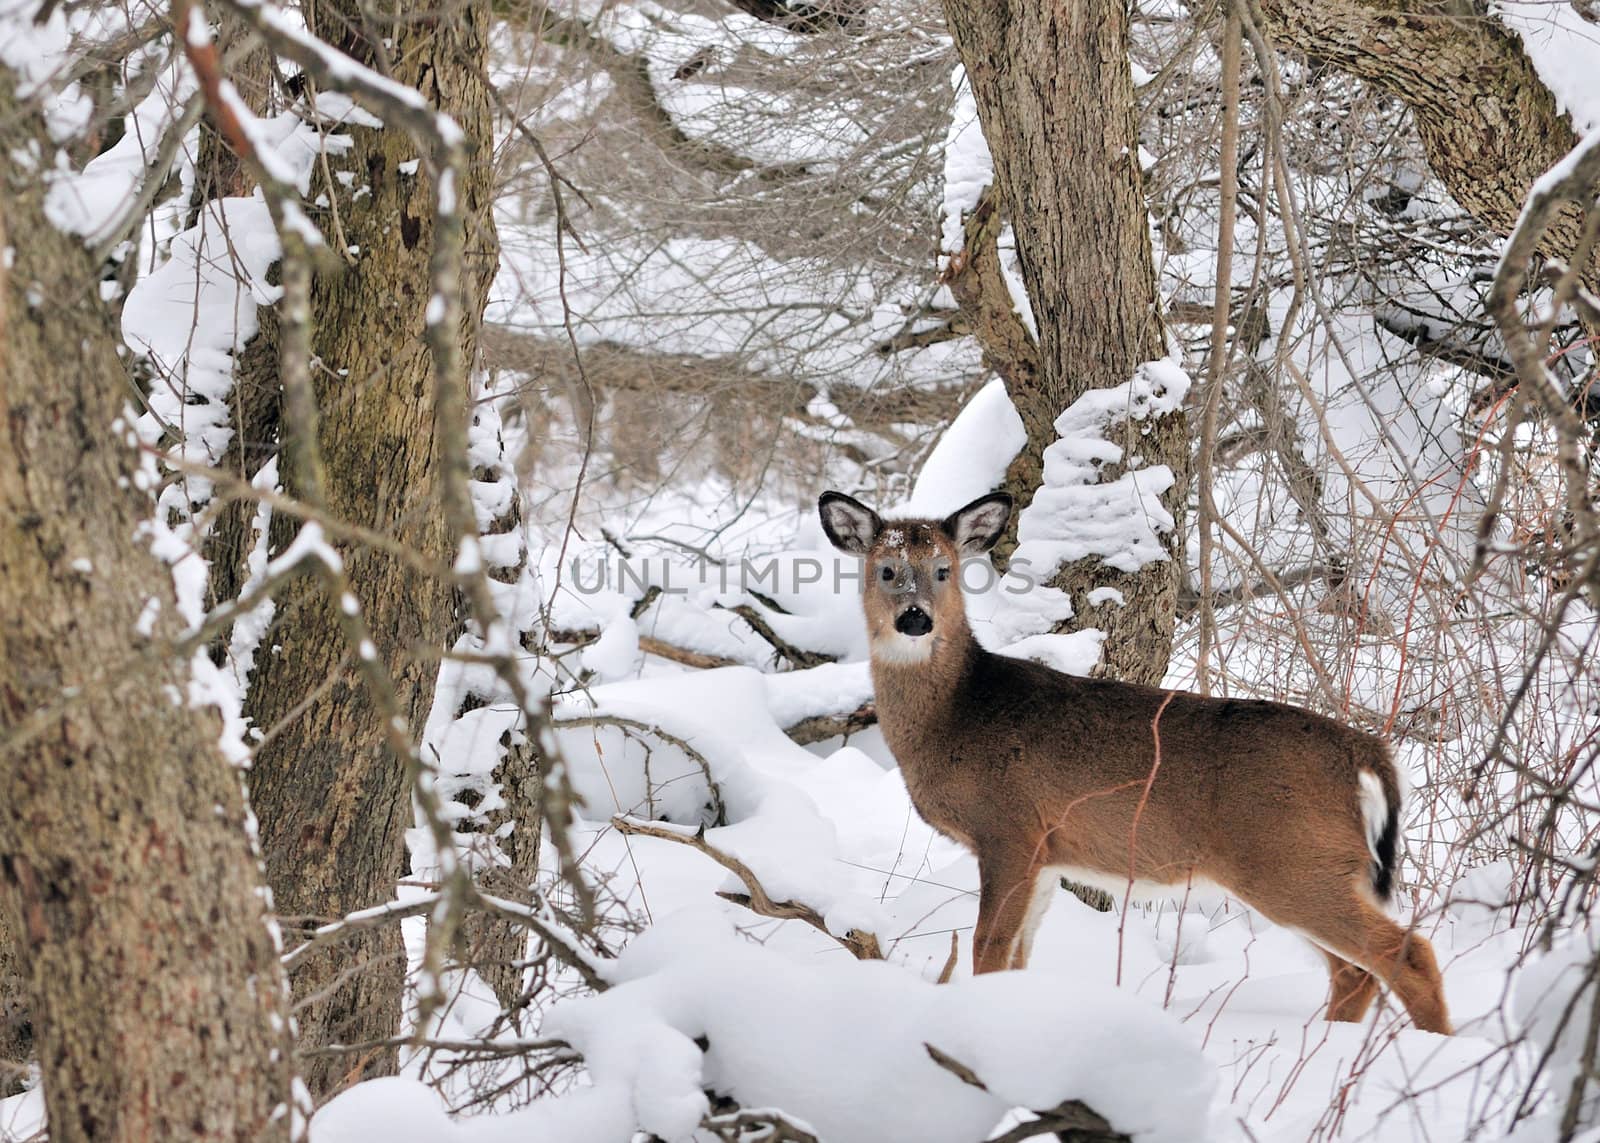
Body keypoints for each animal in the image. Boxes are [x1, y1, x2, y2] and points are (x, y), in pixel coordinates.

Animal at [819, 489, 1459, 1030]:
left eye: (944, 570)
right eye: (886, 570)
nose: (915, 618)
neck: (957, 715)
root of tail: (1368, 754)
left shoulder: (1009, 828)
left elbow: (988, 947)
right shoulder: (1046, 852)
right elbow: (1020, 953)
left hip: (1291, 862)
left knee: (1407, 954)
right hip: (1312, 867)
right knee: (1354, 973)